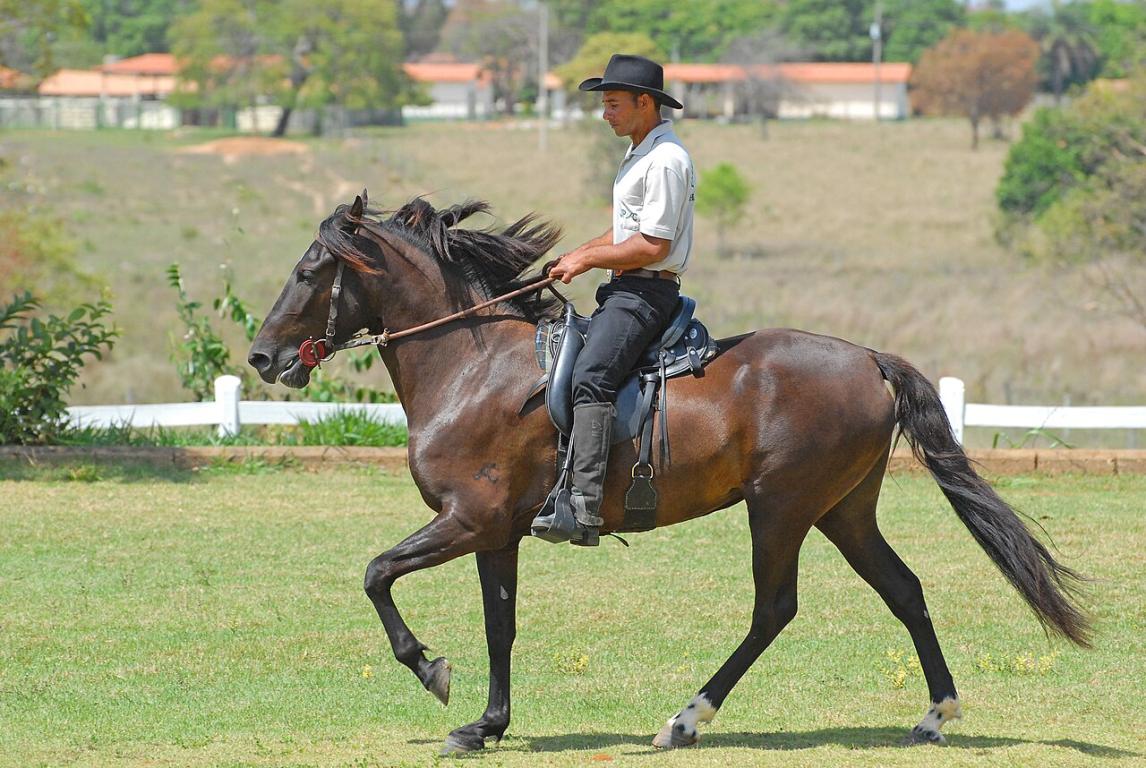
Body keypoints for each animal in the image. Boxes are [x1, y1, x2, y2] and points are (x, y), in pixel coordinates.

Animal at [247, 193, 1091, 754]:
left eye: (310, 269)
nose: (260, 356)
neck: (470, 364)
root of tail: (868, 358)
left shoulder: (468, 519)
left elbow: (376, 573)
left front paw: (430, 669)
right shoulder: (496, 532)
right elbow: (499, 624)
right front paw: (486, 724)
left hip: (782, 507)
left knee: (774, 609)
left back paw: (686, 719)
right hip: (843, 510)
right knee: (904, 591)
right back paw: (936, 714)